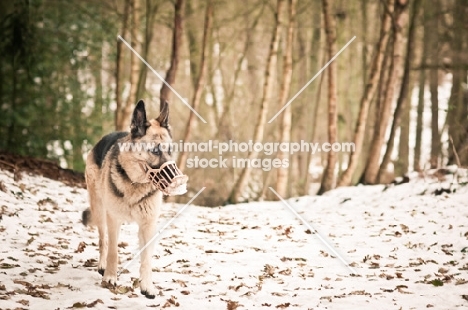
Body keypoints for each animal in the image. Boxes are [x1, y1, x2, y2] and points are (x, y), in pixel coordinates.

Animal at [82, 99, 172, 298]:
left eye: (170, 150)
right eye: (155, 151)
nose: (173, 178)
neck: (135, 184)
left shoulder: (148, 225)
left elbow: (146, 258)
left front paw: (147, 285)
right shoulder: (113, 219)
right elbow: (113, 251)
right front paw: (110, 277)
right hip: (100, 211)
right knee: (103, 240)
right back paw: (102, 265)